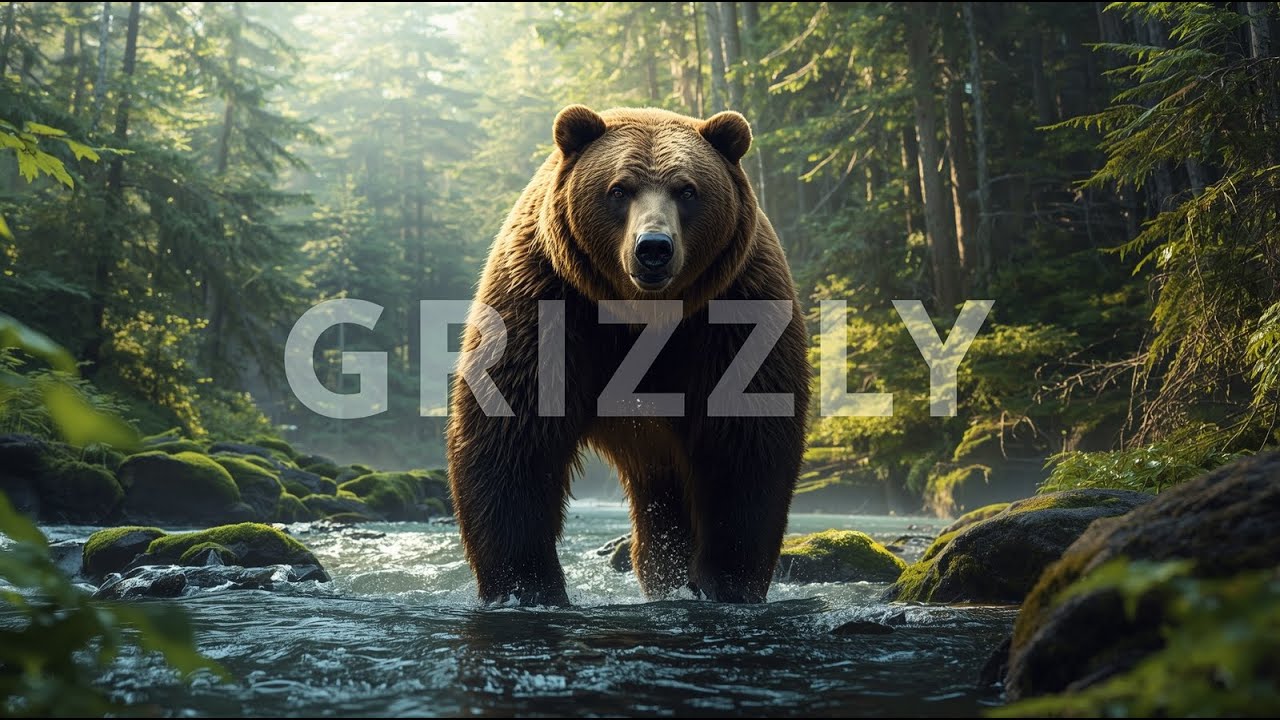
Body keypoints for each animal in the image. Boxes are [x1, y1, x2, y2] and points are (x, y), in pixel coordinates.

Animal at [446, 105, 810, 605]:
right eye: (619, 189)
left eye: (687, 190)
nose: (653, 248)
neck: (640, 314)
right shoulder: (550, 305)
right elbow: (512, 434)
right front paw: (526, 586)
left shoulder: (731, 315)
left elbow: (745, 440)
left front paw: (726, 583)